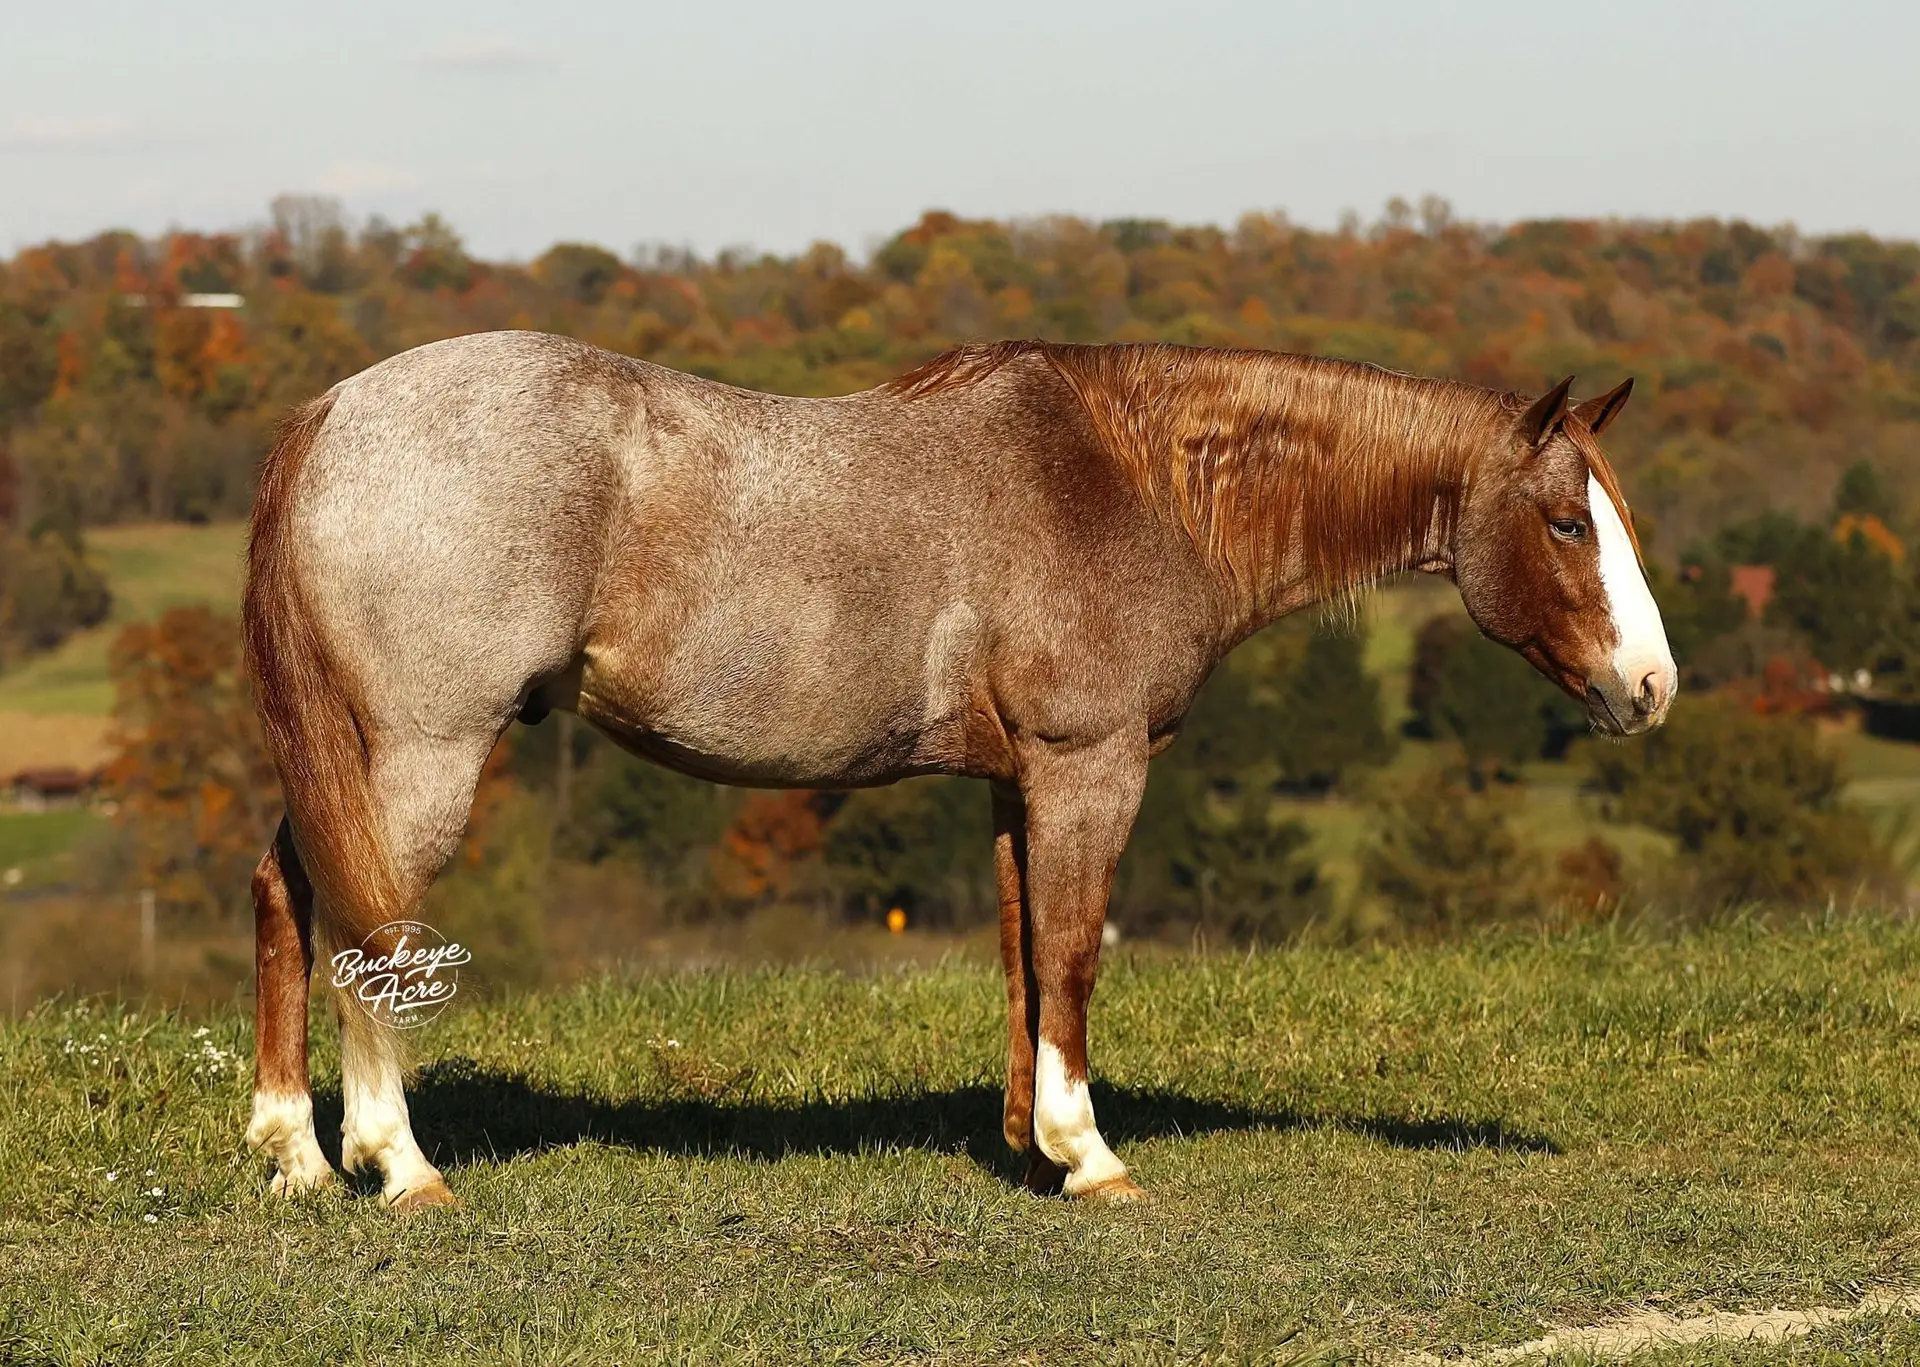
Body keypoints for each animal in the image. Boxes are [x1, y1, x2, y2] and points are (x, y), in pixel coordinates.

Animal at [241, 332, 1674, 1208]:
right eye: (1565, 522)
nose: (1651, 688)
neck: (1131, 480)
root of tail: (333, 411)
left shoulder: (1013, 781)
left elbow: (1024, 951)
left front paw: (1030, 1150)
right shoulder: (1090, 768)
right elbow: (1076, 948)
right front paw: (1090, 1154)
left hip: (351, 763)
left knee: (286, 891)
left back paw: (294, 1149)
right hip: (426, 754)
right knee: (368, 927)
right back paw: (397, 1162)